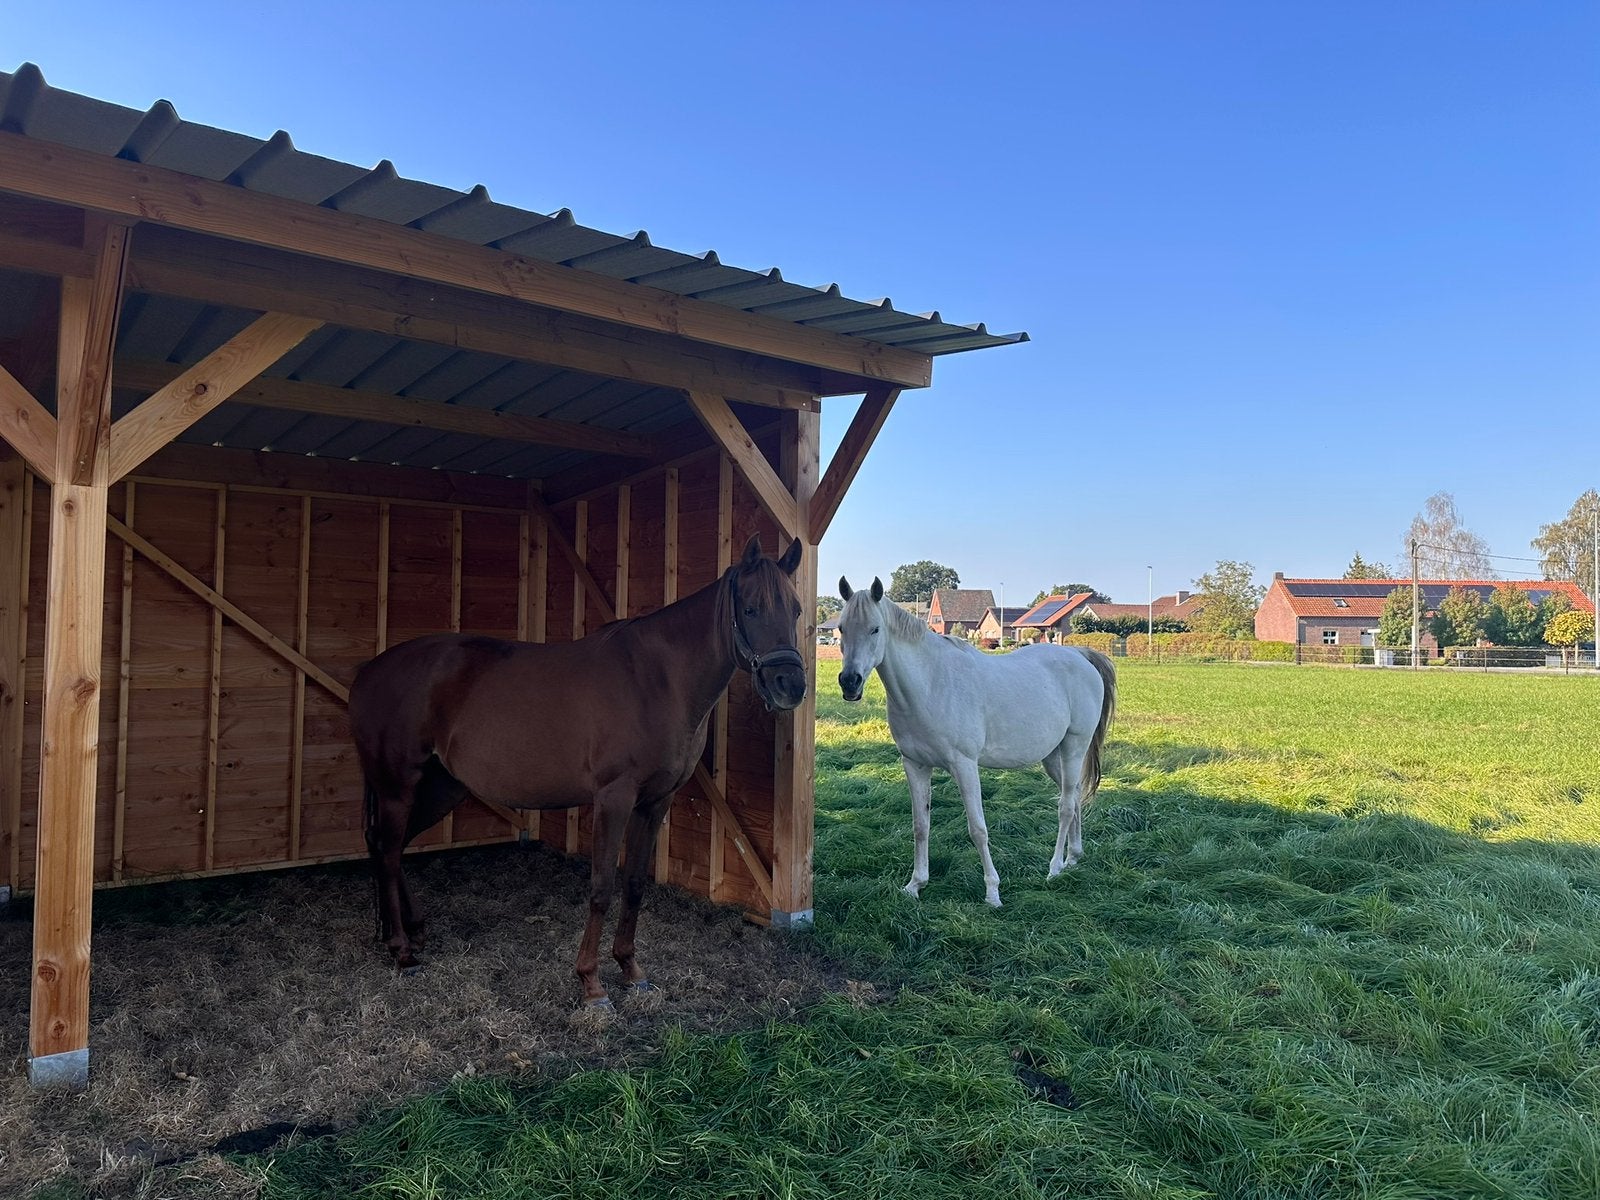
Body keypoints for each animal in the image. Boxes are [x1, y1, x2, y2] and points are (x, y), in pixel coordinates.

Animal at [349, 534, 807, 1009]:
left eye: (795, 610)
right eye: (750, 609)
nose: (790, 686)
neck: (658, 679)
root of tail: (368, 672)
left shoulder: (655, 802)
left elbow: (635, 884)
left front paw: (630, 969)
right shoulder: (614, 798)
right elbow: (602, 887)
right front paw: (591, 982)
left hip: (441, 788)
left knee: (392, 846)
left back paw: (414, 933)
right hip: (397, 786)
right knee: (387, 848)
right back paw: (402, 952)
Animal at [835, 576, 1116, 907]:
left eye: (875, 629)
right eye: (841, 628)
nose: (849, 682)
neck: (930, 684)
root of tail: (1082, 656)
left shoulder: (965, 766)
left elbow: (978, 828)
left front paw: (992, 892)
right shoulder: (915, 765)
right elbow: (920, 826)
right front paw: (915, 884)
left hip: (1074, 747)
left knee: (1066, 805)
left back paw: (1055, 867)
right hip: (1052, 756)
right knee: (1074, 797)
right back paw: (1073, 857)